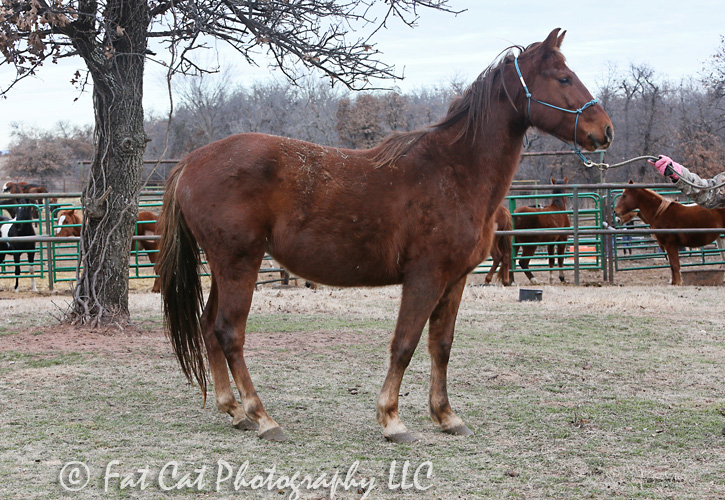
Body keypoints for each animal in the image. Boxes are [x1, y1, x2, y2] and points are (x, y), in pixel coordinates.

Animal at [157, 28, 612, 442]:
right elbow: (405, 344)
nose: (604, 130)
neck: (454, 169)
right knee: (229, 333)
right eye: (564, 78)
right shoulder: (425, 277)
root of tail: (191, 161)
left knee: (208, 328)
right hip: (239, 264)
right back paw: (263, 418)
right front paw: (392, 420)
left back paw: (235, 412)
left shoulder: (455, 279)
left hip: (225, 267)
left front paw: (446, 416)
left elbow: (441, 345)